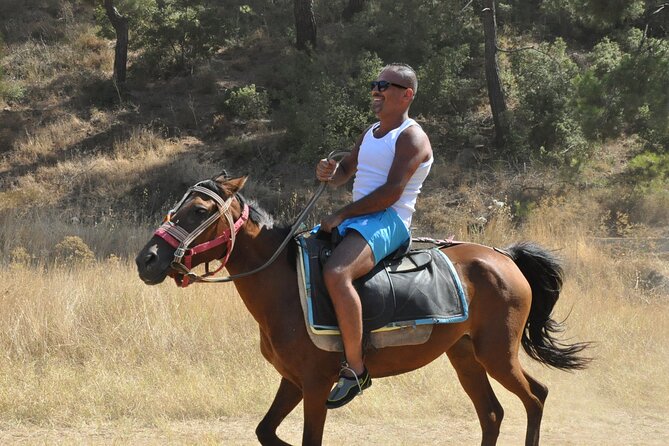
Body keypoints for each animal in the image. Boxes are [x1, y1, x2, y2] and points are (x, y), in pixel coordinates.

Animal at [135, 173, 590, 446]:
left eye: (199, 211)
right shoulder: (293, 381)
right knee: (493, 413)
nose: (147, 259)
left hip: (497, 353)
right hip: (465, 356)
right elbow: (265, 431)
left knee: (535, 398)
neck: (286, 286)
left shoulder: (316, 386)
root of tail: (504, 256)